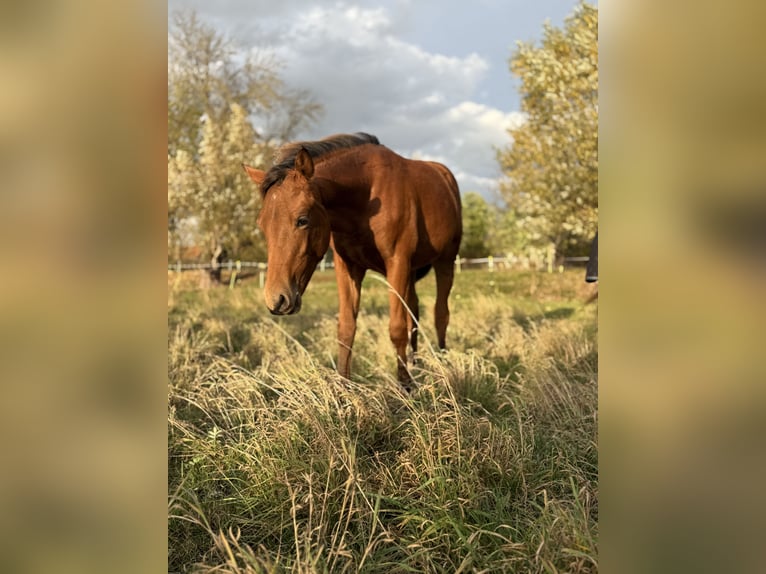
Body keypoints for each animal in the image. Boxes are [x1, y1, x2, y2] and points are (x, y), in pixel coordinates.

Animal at [243, 132, 462, 386]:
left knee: (440, 315)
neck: (367, 194)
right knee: (414, 313)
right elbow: (347, 328)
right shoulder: (348, 267)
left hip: (445, 262)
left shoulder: (397, 262)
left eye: (302, 220)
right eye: (262, 225)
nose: (276, 300)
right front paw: (343, 386)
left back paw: (442, 364)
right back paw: (416, 364)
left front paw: (406, 386)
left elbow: (397, 328)